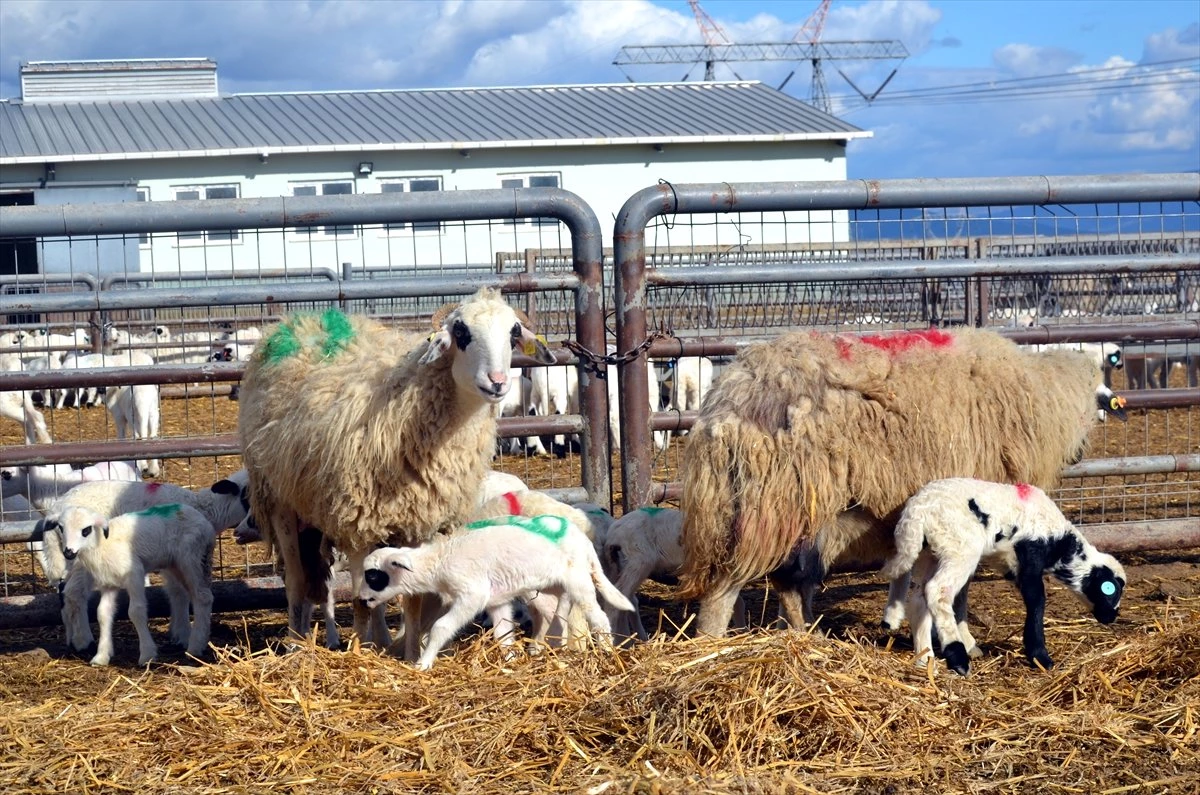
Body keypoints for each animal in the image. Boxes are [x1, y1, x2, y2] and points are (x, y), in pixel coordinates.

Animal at [57, 504, 216, 667]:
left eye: (86, 530)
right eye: (61, 528)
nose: (68, 553)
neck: (103, 544)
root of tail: (203, 520)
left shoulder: (135, 575)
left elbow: (136, 611)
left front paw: (147, 655)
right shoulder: (108, 584)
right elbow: (103, 614)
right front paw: (101, 657)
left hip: (193, 558)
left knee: (203, 597)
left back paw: (195, 647)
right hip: (174, 565)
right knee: (183, 594)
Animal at [238, 289, 556, 658]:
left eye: (513, 334)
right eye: (461, 332)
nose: (497, 383)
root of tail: (300, 319)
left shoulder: (420, 523)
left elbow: (411, 597)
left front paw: (410, 654)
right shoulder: (356, 522)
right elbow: (358, 600)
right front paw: (359, 654)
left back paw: (379, 641)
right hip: (279, 501)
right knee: (296, 580)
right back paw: (297, 644)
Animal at [357, 516, 633, 672]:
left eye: (373, 576)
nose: (361, 599)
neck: (439, 561)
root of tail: (585, 542)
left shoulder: (471, 594)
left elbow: (441, 627)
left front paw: (423, 664)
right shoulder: (496, 601)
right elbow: (503, 633)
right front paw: (510, 661)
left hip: (578, 579)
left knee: (598, 616)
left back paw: (607, 651)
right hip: (557, 585)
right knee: (559, 614)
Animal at [681, 326, 1128, 638]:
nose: (1080, 453)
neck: (1040, 395)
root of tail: (730, 396)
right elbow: (959, 588)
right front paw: (961, 632)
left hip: (778, 509)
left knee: (788, 582)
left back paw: (803, 636)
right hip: (773, 504)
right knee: (729, 588)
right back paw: (712, 644)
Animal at [883, 480, 1123, 677]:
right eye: (1109, 589)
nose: (1111, 616)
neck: (1060, 544)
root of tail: (917, 511)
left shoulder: (1012, 563)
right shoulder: (1030, 555)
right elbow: (1037, 600)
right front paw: (1041, 658)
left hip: (930, 552)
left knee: (919, 599)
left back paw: (925, 658)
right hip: (960, 549)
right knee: (938, 591)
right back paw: (957, 657)